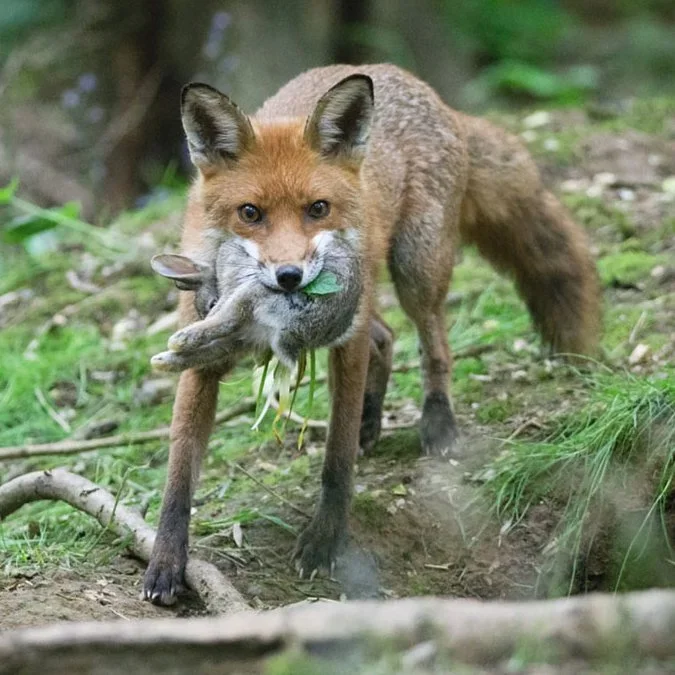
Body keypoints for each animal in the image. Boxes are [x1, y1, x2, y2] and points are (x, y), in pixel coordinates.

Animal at [143, 64, 600, 605]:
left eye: (317, 208)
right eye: (250, 213)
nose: (290, 277)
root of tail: (419, 86)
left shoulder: (346, 340)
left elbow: (336, 461)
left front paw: (325, 539)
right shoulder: (203, 361)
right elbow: (178, 476)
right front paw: (166, 563)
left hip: (416, 271)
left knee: (433, 345)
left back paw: (437, 421)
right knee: (386, 338)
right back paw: (372, 420)